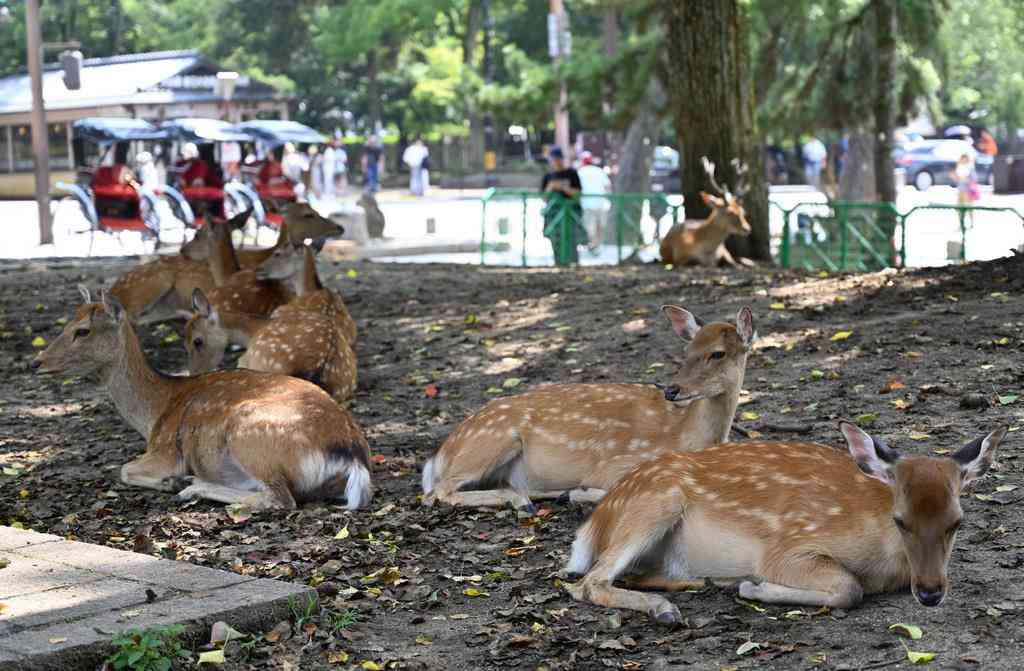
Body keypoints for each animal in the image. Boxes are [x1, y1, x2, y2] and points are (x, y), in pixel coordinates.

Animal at [421, 305, 755, 510]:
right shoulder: (617, 464)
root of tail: (441, 455)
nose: (672, 390)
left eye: (718, 353)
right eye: (687, 350)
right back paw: (522, 499)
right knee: (436, 492)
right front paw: (577, 492)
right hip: (494, 437)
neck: (687, 436)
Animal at [563, 421, 1009, 626]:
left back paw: (701, 583)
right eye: (900, 521)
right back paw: (666, 609)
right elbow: (849, 588)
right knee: (589, 581)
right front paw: (753, 586)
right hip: (657, 501)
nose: (931, 592)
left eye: (957, 522)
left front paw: (743, 585)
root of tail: (598, 519)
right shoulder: (787, 546)